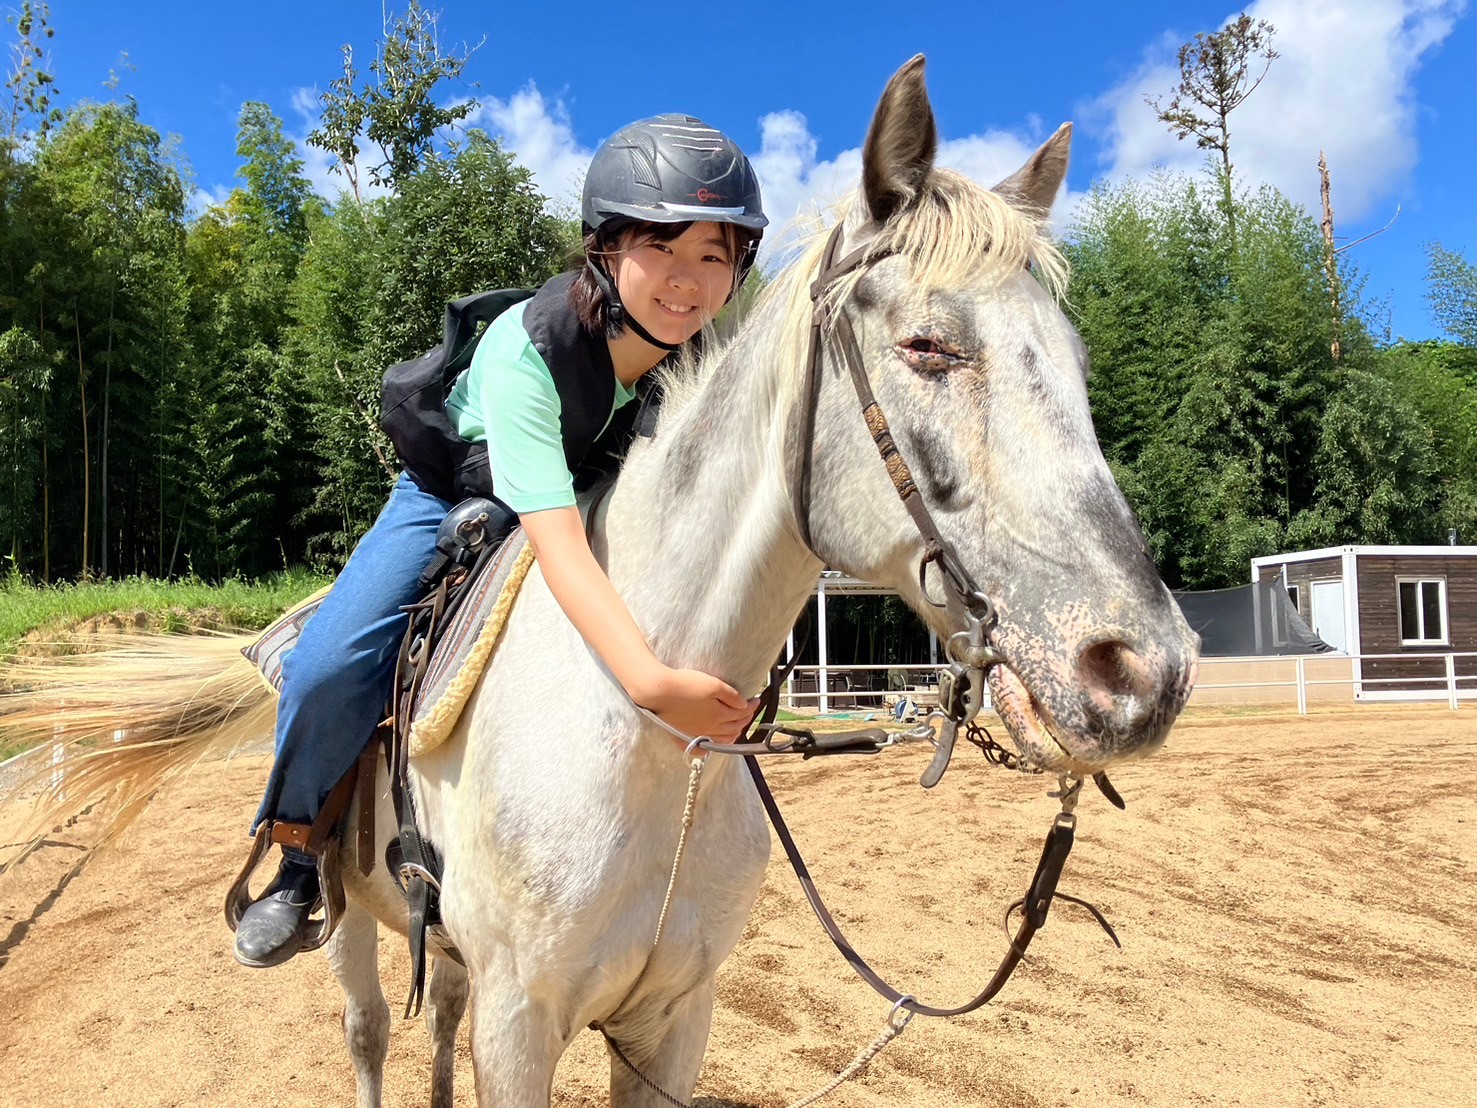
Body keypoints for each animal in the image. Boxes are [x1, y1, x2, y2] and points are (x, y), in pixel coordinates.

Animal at [0, 56, 1198, 1107]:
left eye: (1079, 363)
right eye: (926, 346)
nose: (1144, 672)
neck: (656, 757)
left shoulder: (672, 1021)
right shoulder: (523, 1023)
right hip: (346, 920)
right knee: (370, 1032)